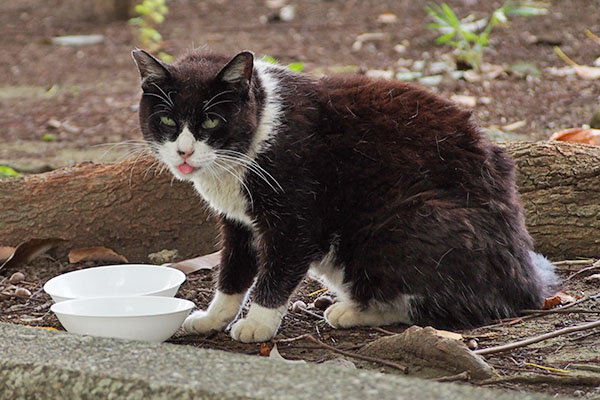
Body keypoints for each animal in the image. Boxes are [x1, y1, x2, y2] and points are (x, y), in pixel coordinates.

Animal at [134, 49, 560, 344]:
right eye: (167, 120)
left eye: (210, 120)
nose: (184, 152)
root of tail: (527, 281)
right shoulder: (238, 222)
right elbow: (233, 272)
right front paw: (213, 317)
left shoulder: (296, 218)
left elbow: (277, 271)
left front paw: (257, 323)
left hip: (415, 220)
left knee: (453, 305)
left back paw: (353, 312)